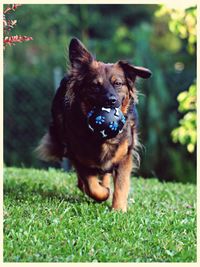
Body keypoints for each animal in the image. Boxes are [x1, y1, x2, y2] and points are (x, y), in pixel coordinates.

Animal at [36, 38, 152, 214]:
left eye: (118, 83)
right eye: (95, 85)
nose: (111, 101)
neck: (101, 139)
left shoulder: (125, 155)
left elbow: (121, 185)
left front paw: (118, 210)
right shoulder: (76, 154)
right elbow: (91, 185)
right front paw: (103, 193)